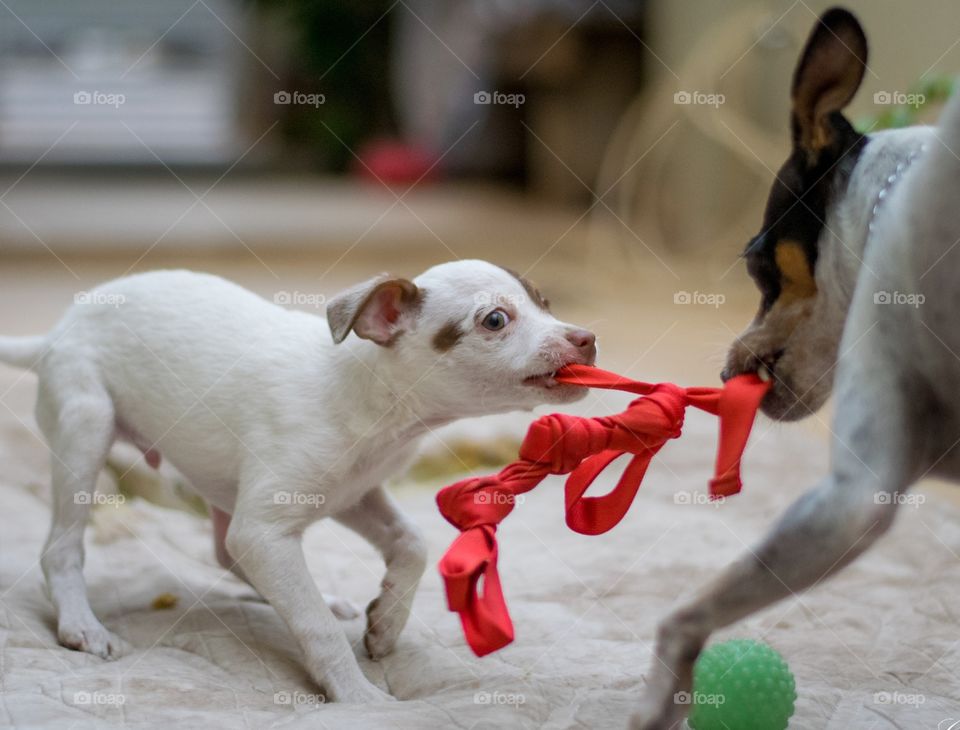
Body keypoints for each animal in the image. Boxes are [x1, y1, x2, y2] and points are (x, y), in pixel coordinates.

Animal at [0, 260, 596, 700]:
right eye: (495, 320)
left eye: (544, 303)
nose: (587, 338)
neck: (374, 404)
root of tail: (55, 332)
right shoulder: (267, 527)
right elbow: (313, 625)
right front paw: (357, 696)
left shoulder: (353, 493)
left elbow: (411, 543)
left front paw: (387, 623)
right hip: (86, 427)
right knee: (62, 549)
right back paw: (82, 626)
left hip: (219, 478)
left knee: (226, 551)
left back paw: (317, 594)